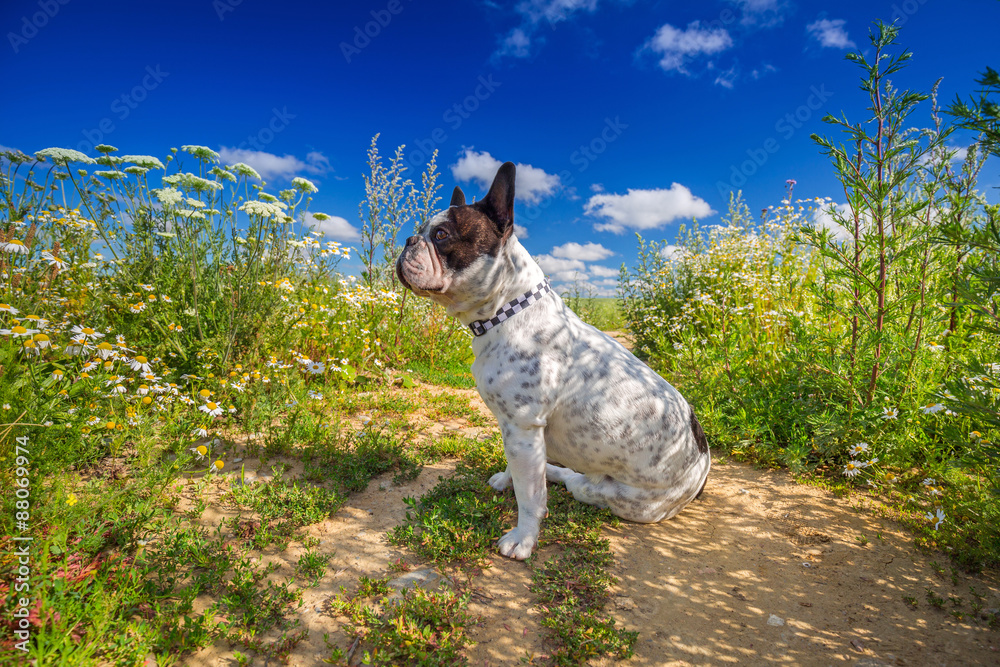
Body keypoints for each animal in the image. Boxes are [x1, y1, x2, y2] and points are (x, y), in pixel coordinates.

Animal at [394, 164, 708, 560]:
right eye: (421, 231)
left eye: (441, 234)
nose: (408, 240)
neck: (506, 312)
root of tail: (703, 468)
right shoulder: (517, 434)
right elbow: (519, 472)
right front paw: (508, 479)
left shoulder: (523, 428)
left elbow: (530, 495)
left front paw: (524, 538)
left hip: (613, 494)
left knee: (578, 482)